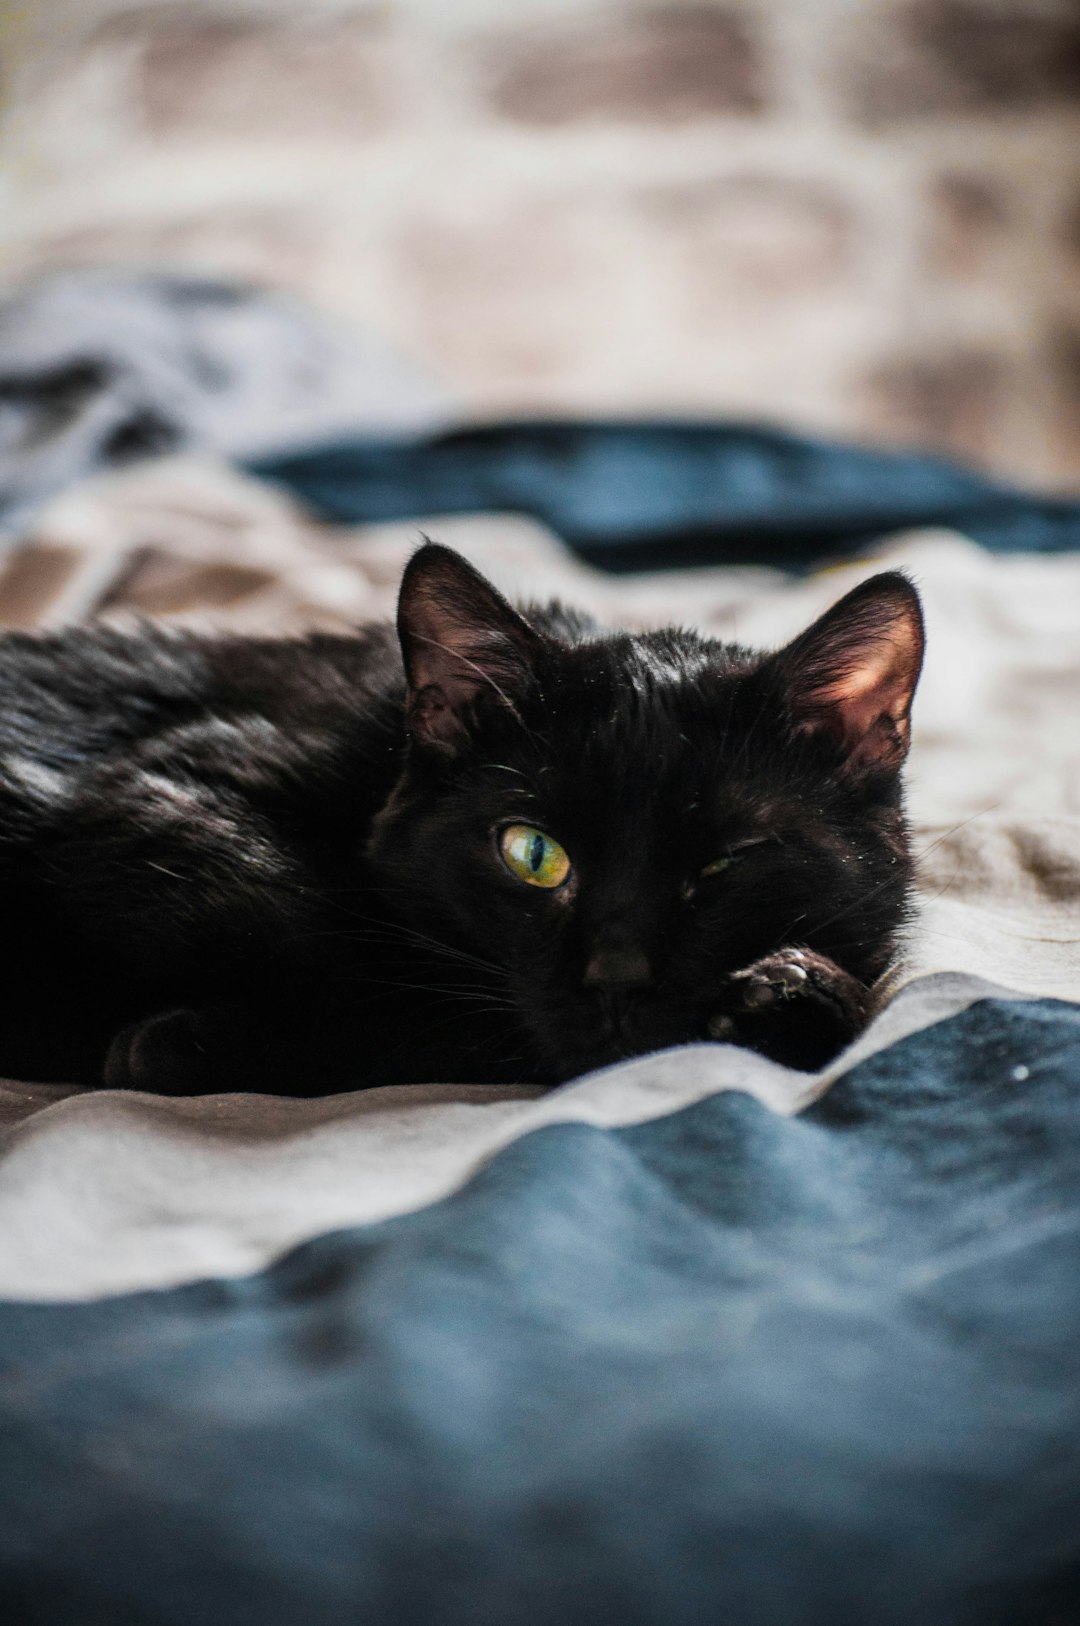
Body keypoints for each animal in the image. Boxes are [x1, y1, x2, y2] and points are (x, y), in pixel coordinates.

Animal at [0, 546, 923, 1092]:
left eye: (729, 862)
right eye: (533, 854)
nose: (616, 978)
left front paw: (798, 991)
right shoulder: (155, 792)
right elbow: (340, 952)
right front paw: (178, 1045)